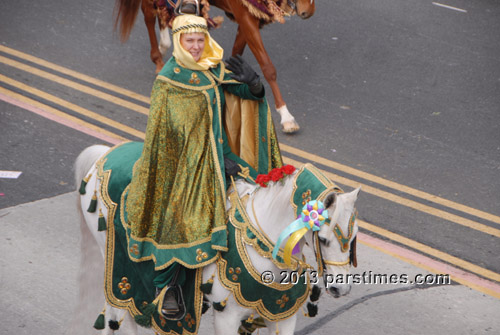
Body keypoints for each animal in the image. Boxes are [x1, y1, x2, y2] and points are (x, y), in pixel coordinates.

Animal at [70, 145, 360, 335]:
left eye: (354, 239)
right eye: (324, 240)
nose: (341, 289)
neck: (260, 247)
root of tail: (105, 154)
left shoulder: (281, 316)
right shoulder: (227, 317)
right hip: (119, 273)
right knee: (117, 315)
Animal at [115, 0, 314, 134]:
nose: (308, 12)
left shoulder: (249, 18)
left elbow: (236, 53)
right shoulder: (246, 16)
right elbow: (268, 67)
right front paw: (286, 117)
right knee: (148, 12)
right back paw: (158, 57)